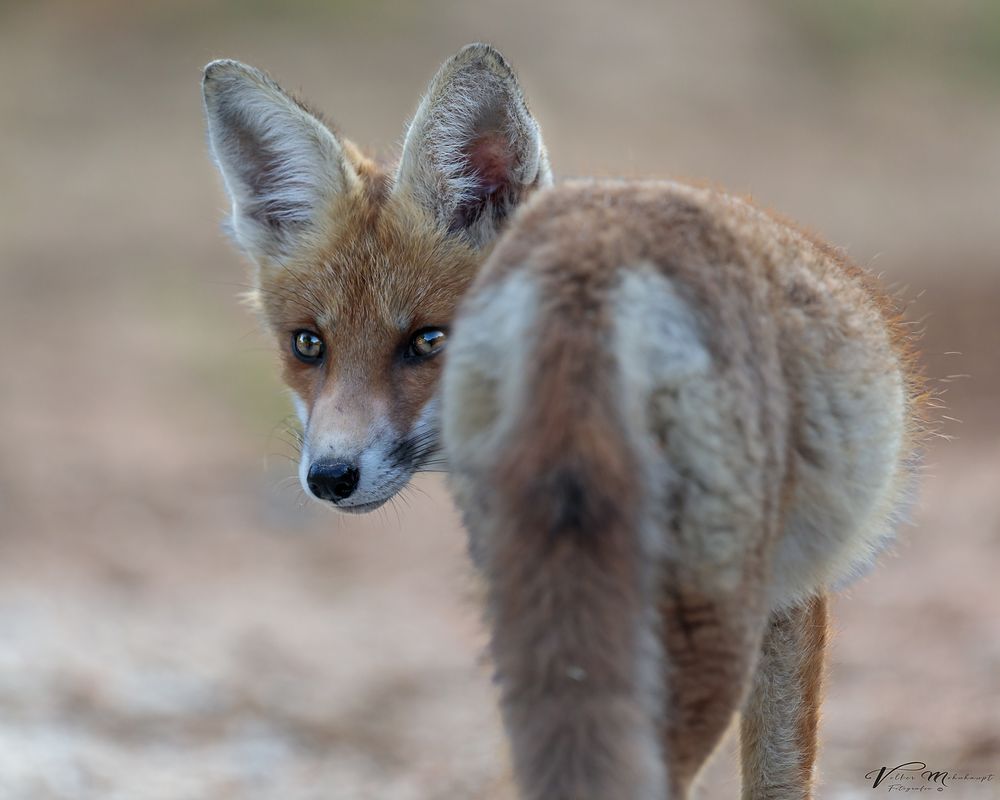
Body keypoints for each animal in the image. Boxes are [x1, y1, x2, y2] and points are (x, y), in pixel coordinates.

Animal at [201, 45, 920, 800]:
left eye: (427, 341)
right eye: (309, 344)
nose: (331, 476)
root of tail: (587, 274)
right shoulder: (792, 596)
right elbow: (780, 773)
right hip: (702, 611)